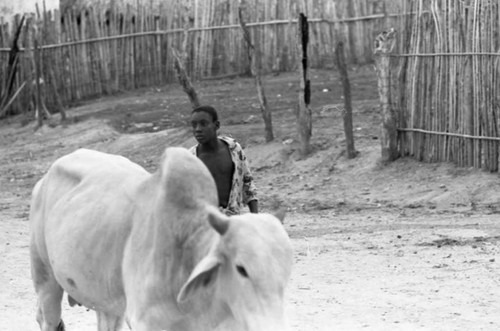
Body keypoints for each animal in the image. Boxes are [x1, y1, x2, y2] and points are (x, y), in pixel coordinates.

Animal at [29, 148, 292, 331]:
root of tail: (44, 179)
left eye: (286, 274)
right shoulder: (145, 321)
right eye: (241, 269)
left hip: (105, 296)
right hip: (45, 278)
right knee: (47, 318)